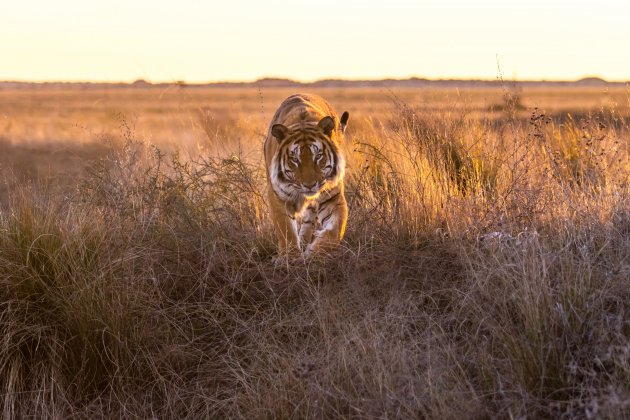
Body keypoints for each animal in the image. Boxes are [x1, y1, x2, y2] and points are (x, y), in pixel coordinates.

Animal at [262, 93, 350, 258]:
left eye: (318, 156)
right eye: (295, 159)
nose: (309, 185)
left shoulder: (333, 198)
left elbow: (335, 232)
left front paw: (313, 254)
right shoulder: (278, 197)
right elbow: (286, 230)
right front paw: (290, 257)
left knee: (309, 219)